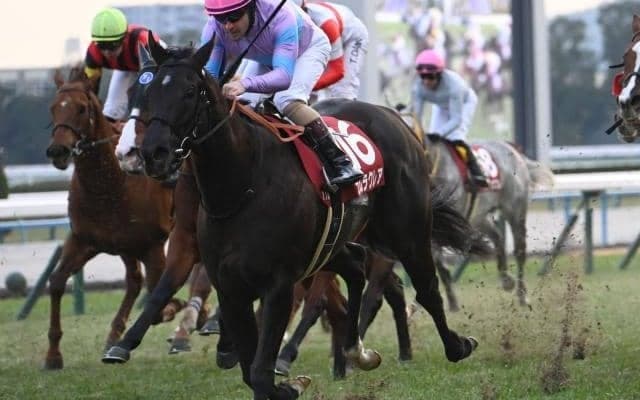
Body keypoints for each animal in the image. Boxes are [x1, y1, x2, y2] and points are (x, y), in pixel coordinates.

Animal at [43, 66, 179, 369]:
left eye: (81, 109)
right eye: (53, 108)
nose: (57, 151)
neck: (111, 184)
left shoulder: (153, 246)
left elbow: (157, 298)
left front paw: (174, 309)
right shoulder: (83, 240)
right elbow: (56, 282)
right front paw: (53, 354)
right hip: (125, 246)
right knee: (134, 281)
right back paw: (115, 334)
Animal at [134, 35, 486, 399]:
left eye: (190, 91)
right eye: (147, 91)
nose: (153, 154)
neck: (242, 186)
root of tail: (396, 119)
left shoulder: (278, 283)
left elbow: (260, 372)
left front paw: (289, 380)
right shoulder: (230, 287)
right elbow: (250, 371)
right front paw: (281, 378)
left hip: (408, 234)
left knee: (426, 288)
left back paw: (457, 345)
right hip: (335, 244)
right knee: (356, 267)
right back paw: (356, 351)